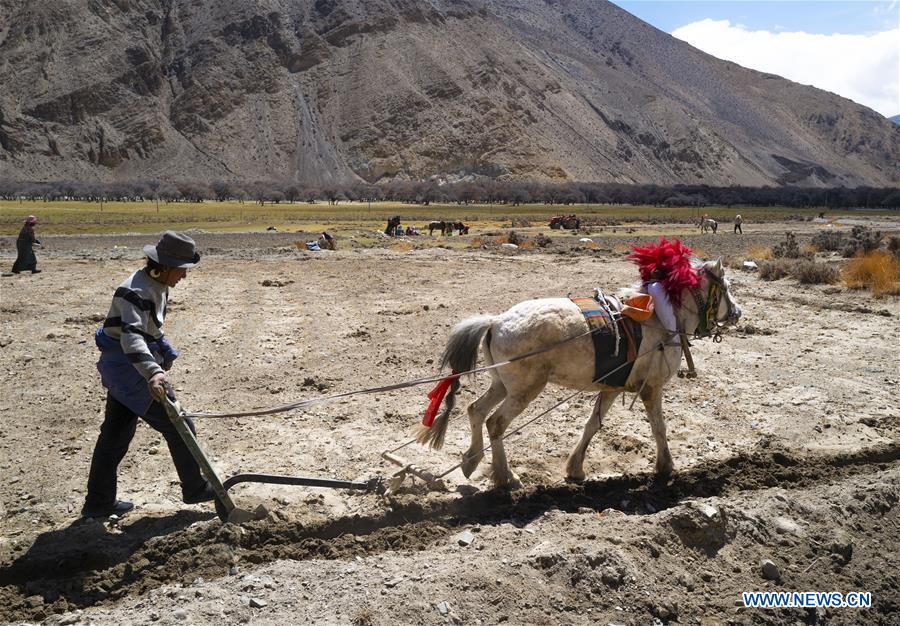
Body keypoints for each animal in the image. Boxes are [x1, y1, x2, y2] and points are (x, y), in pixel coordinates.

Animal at [418, 258, 740, 488]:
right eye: (725, 287)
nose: (738, 313)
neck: (662, 319)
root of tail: (496, 321)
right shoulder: (652, 388)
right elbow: (658, 427)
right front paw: (665, 466)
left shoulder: (611, 388)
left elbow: (592, 425)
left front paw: (575, 469)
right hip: (524, 391)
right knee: (495, 423)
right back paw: (506, 478)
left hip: (502, 385)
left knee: (476, 410)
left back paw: (471, 461)